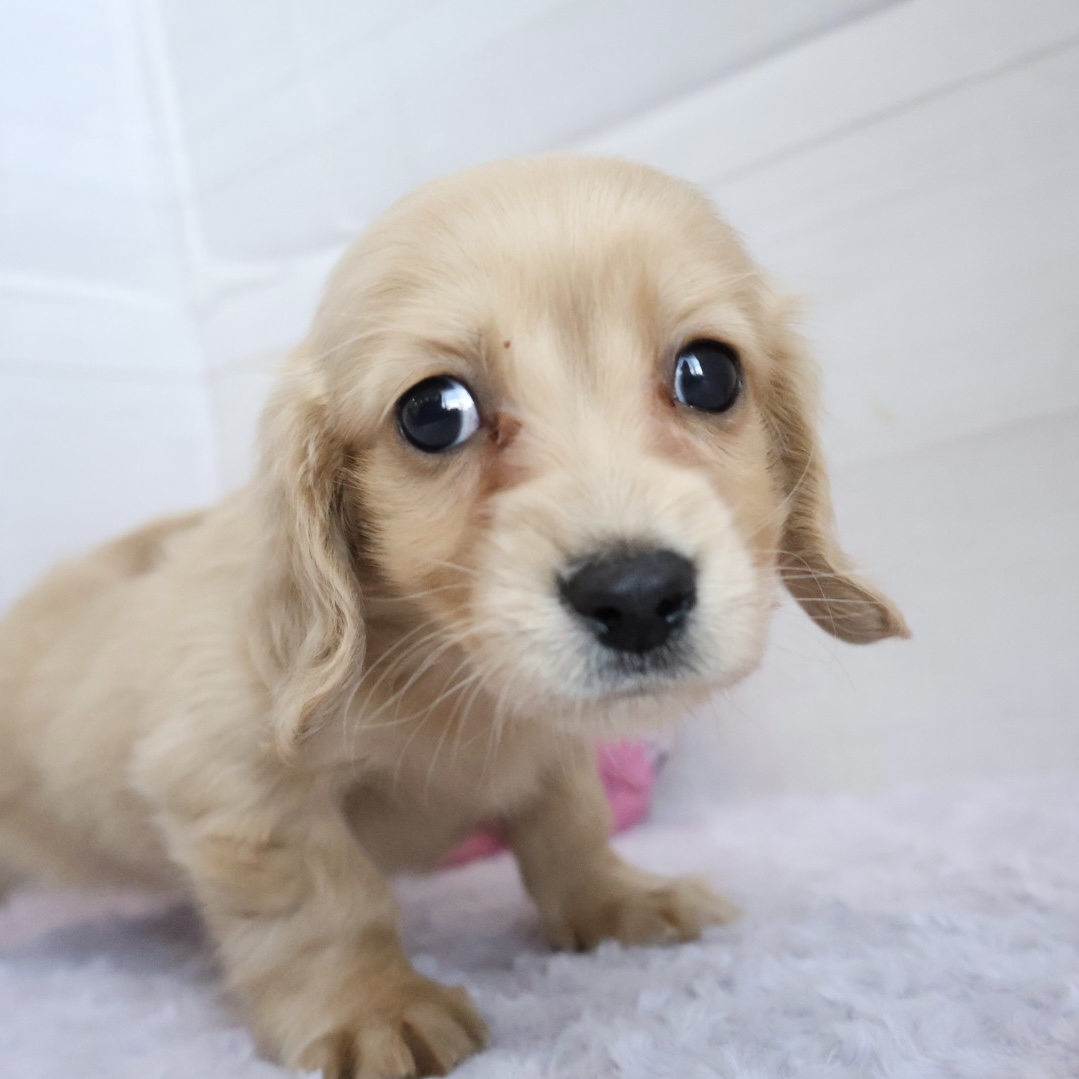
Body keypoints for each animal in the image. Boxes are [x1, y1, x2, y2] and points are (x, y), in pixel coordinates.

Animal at [0, 156, 907, 1077]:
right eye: (435, 412)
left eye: (707, 374)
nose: (636, 595)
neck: (444, 665)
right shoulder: (233, 783)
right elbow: (326, 901)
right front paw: (372, 1004)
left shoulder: (550, 754)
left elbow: (569, 829)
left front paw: (618, 901)